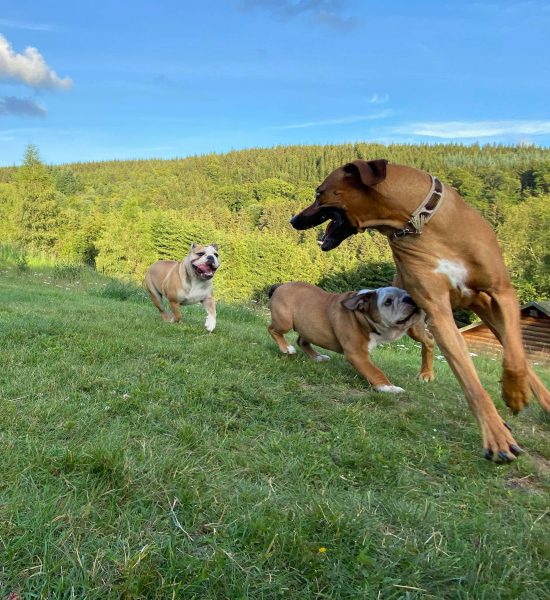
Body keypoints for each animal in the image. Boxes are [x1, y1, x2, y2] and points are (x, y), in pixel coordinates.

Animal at [268, 282, 429, 393]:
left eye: (407, 293)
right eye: (388, 301)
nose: (411, 299)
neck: (361, 314)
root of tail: (280, 285)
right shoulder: (357, 354)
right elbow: (374, 371)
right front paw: (388, 387)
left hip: (309, 328)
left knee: (302, 340)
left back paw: (317, 357)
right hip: (285, 321)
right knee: (272, 329)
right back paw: (286, 348)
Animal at [290, 159, 550, 462]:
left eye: (319, 193)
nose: (293, 220)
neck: (421, 223)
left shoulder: (503, 293)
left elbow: (515, 359)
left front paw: (514, 395)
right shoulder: (438, 311)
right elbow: (472, 383)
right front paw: (497, 436)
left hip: (484, 308)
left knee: (514, 350)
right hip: (415, 322)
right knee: (428, 341)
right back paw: (427, 373)